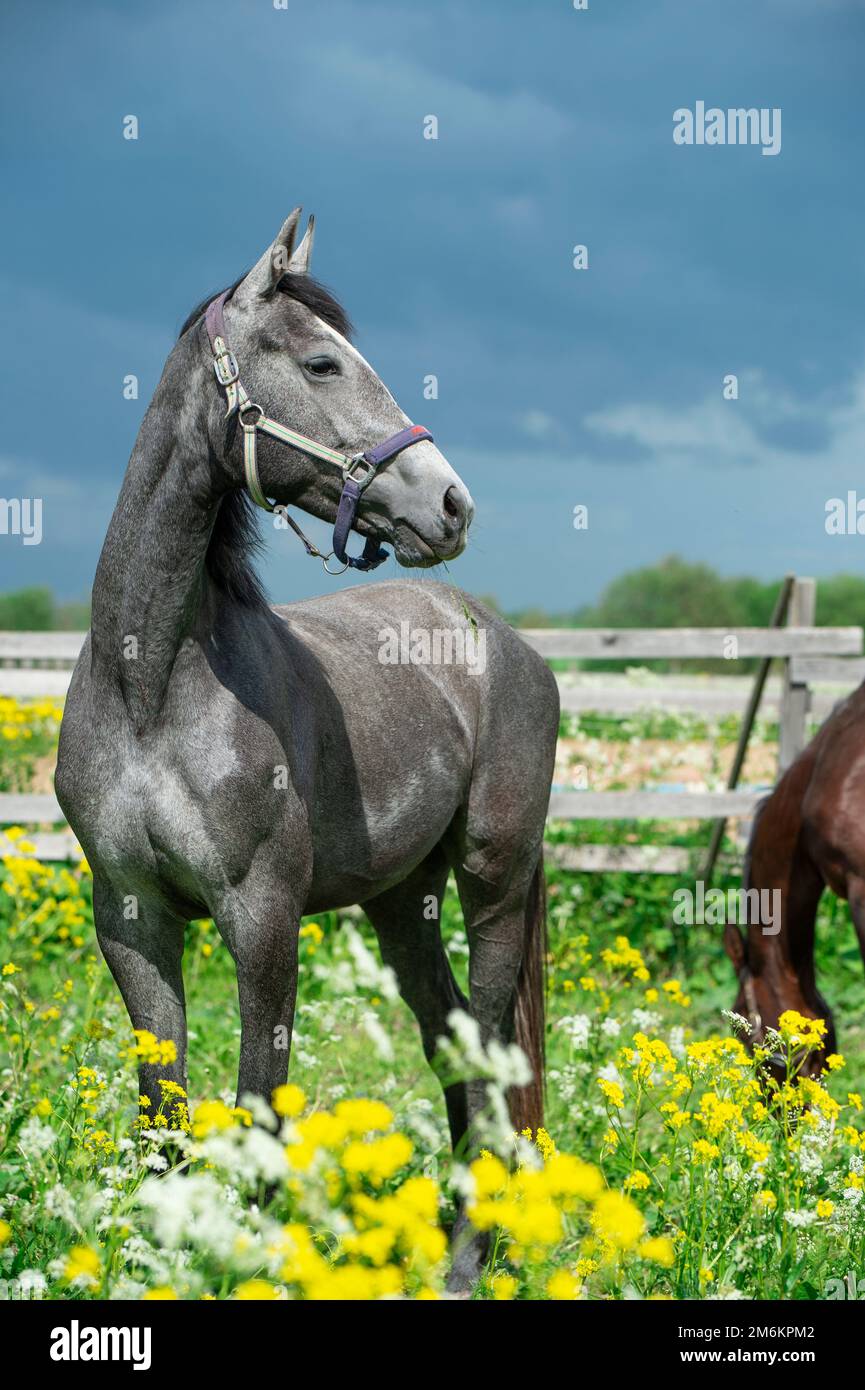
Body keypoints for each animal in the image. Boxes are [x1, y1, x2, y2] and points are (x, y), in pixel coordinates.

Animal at [59, 208, 561, 1289]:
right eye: (323, 362)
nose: (449, 502)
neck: (151, 690)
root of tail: (501, 639)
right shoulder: (131, 920)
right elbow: (163, 1119)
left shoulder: (263, 919)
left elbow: (260, 1107)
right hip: (402, 902)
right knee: (451, 1041)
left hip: (494, 881)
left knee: (489, 1054)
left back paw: (469, 1260)